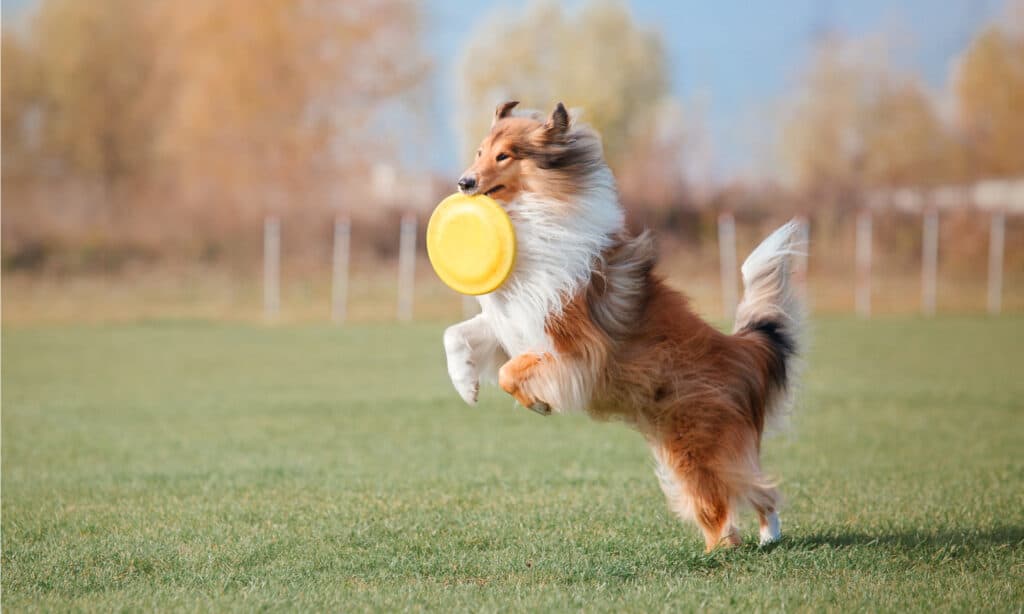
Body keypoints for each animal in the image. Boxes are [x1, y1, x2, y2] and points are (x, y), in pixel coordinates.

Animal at [444, 100, 802, 552]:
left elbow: (511, 371)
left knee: (739, 494)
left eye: (504, 155)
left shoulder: (573, 345)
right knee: (743, 491)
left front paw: (538, 402)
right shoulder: (513, 321)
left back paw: (731, 546)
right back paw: (760, 537)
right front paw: (466, 386)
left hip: (696, 445)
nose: (464, 182)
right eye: (479, 152)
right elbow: (457, 336)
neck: (533, 214)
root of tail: (739, 349)